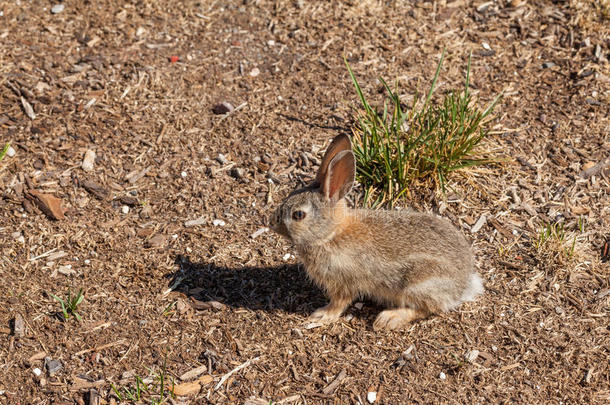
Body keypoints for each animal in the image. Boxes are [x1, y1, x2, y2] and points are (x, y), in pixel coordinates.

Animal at [270, 134, 480, 330]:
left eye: (298, 215)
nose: (272, 222)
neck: (330, 235)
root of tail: (464, 285)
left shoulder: (344, 283)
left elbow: (339, 303)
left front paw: (321, 315)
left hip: (417, 286)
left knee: (424, 309)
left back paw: (388, 318)